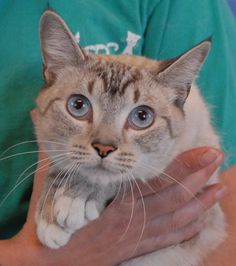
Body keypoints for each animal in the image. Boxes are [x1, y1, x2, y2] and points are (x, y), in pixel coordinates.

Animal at [35, 10, 227, 266]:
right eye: (78, 106)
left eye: (142, 117)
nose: (103, 148)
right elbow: (62, 165)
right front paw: (49, 214)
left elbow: (126, 177)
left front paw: (73, 201)